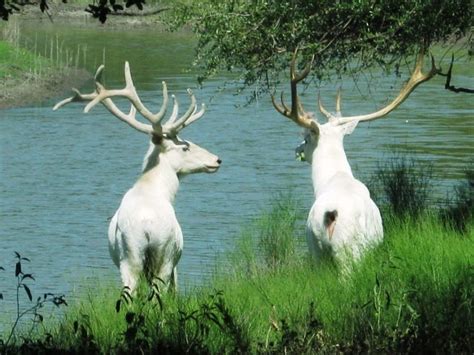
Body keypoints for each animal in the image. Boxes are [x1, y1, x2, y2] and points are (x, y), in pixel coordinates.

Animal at [54, 63, 222, 292]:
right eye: (185, 147)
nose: (217, 159)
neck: (158, 189)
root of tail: (147, 227)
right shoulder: (175, 261)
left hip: (129, 256)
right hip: (164, 256)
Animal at [272, 48, 438, 268]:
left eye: (306, 138)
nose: (296, 149)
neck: (332, 179)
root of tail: (330, 214)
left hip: (327, 249)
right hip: (339, 249)